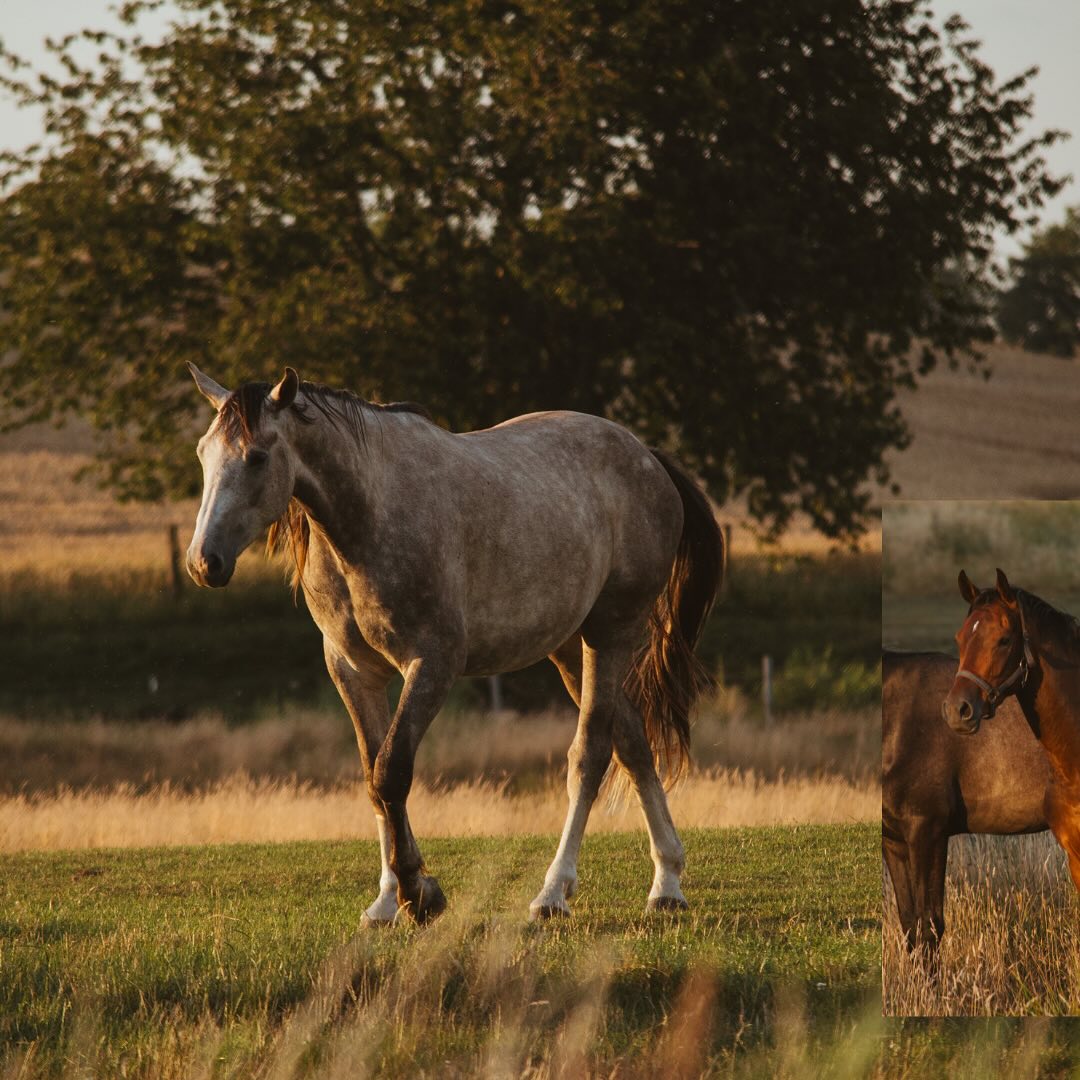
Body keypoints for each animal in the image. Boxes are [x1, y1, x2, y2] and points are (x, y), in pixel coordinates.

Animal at [185, 364, 723, 923]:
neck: (370, 513)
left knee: (590, 755)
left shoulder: (432, 663)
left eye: (257, 456)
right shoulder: (353, 671)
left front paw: (417, 893)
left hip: (610, 634)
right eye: (203, 452)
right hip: (571, 649)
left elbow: (392, 772)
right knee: (634, 744)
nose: (204, 562)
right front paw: (388, 900)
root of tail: (648, 457)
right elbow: (373, 775)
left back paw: (553, 893)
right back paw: (667, 883)